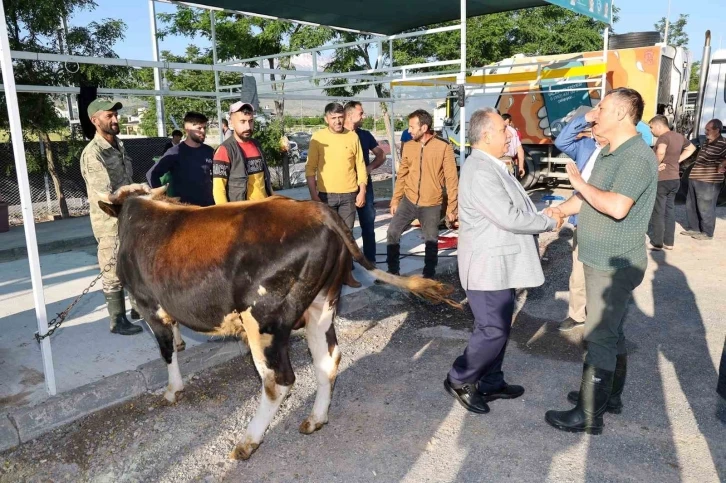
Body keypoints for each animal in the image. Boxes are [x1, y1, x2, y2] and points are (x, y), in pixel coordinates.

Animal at [99, 185, 458, 462]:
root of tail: (317, 211)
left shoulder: (147, 304)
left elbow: (165, 350)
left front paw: (173, 389)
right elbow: (173, 339)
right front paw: (181, 344)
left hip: (263, 321)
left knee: (279, 380)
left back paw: (247, 442)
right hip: (320, 307)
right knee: (328, 361)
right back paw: (315, 419)